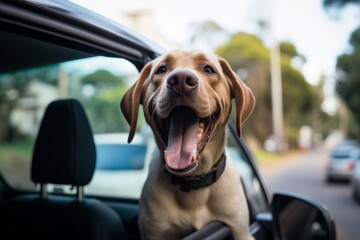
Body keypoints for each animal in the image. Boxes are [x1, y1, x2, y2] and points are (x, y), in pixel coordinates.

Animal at [121, 49, 256, 239]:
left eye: (209, 69)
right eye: (161, 69)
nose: (181, 80)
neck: (193, 184)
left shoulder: (240, 229)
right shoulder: (154, 231)